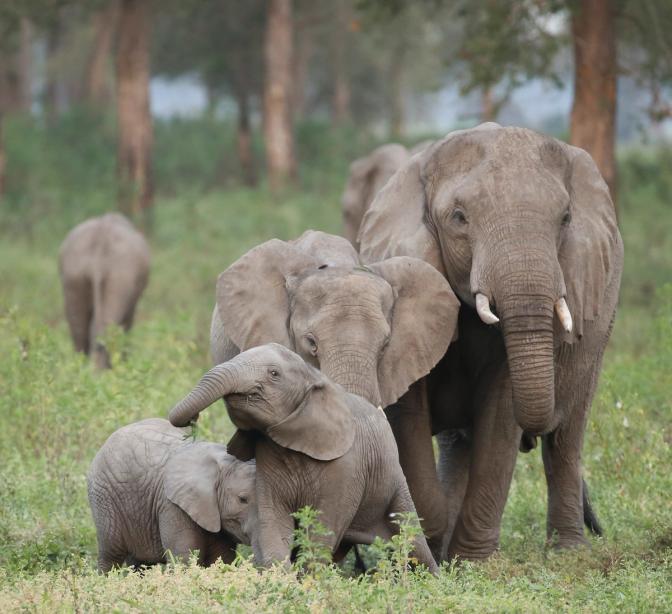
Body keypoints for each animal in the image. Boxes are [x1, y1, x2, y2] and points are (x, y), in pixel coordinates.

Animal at [87, 418, 255, 572]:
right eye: (242, 499)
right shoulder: (172, 506)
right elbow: (183, 559)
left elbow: (221, 560)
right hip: (103, 499)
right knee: (111, 555)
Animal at [168, 343, 439, 574]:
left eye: (274, 374)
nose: (193, 420)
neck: (313, 376)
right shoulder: (267, 460)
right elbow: (274, 521)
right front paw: (283, 581)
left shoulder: (346, 466)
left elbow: (322, 528)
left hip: (393, 479)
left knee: (413, 541)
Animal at [357, 123, 623, 561]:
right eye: (459, 218)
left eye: (566, 217)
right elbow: (409, 414)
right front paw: (433, 540)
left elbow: (501, 414)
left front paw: (472, 563)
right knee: (459, 445)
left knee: (566, 440)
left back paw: (569, 553)